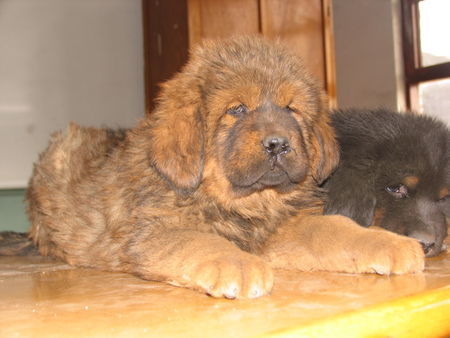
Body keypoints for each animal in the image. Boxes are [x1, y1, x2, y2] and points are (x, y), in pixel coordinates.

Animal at [25, 37, 426, 298]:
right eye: (237, 109)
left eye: (291, 109)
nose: (278, 144)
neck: (247, 203)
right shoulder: (154, 231)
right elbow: (200, 240)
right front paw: (239, 264)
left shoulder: (283, 230)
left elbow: (335, 229)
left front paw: (390, 241)